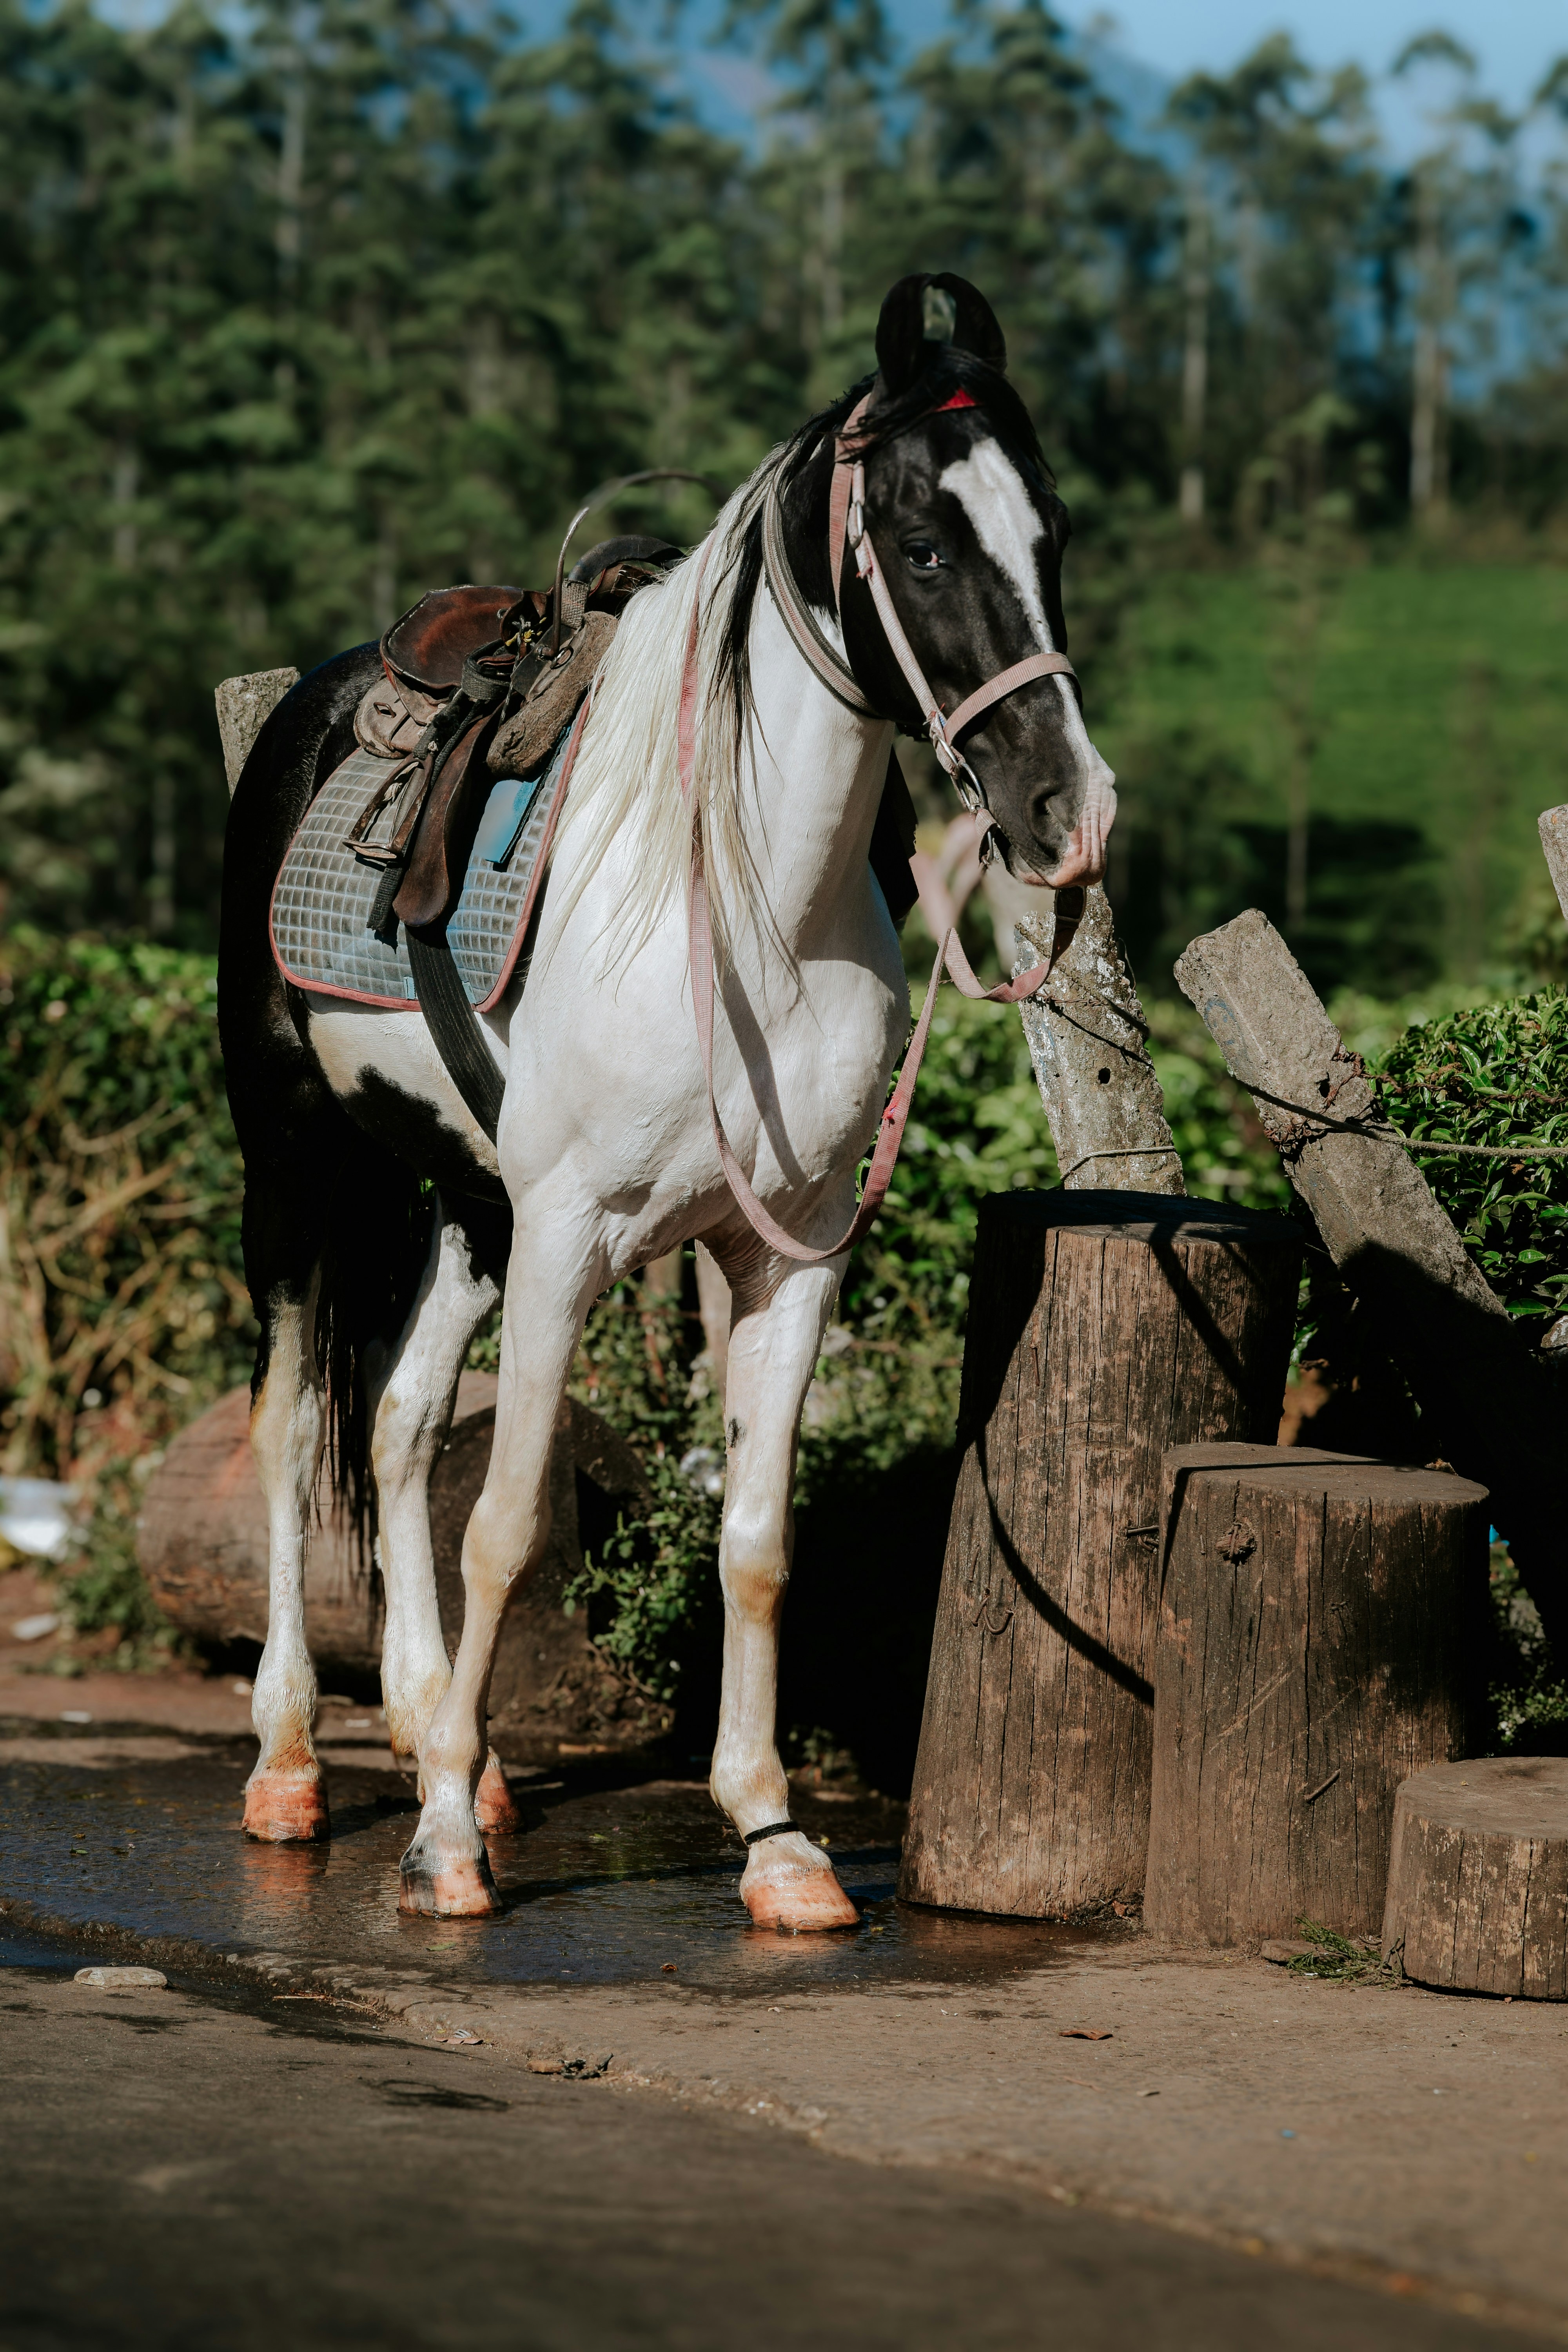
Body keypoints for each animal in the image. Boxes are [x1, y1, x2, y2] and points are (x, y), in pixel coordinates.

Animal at [217, 270, 1118, 1926]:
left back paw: (451, 1744)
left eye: (1057, 532)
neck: (736, 906)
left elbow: (756, 1537)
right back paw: (296, 1762)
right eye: (920, 543)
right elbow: (509, 1522)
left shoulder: (791, 1248)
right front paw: (443, 1851)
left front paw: (774, 1841)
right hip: (302, 1171)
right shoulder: (573, 1229)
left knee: (398, 1420)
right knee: (299, 1432)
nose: (1066, 813)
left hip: (468, 1203)